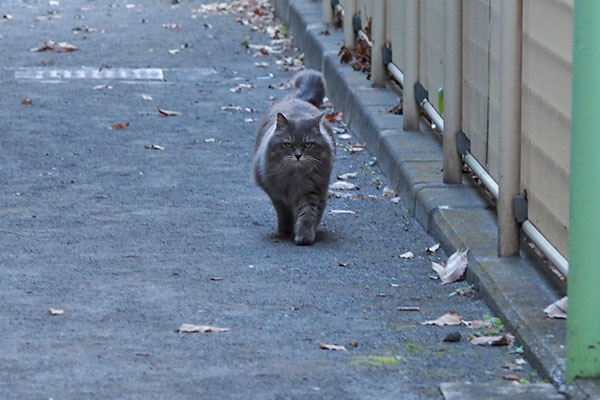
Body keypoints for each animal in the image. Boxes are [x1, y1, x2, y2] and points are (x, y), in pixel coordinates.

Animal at [253, 70, 338, 245]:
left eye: (308, 145)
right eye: (288, 144)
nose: (298, 155)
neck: (295, 178)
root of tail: (297, 99)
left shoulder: (313, 191)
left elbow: (308, 214)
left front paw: (304, 235)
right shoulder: (277, 194)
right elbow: (284, 214)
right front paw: (285, 231)